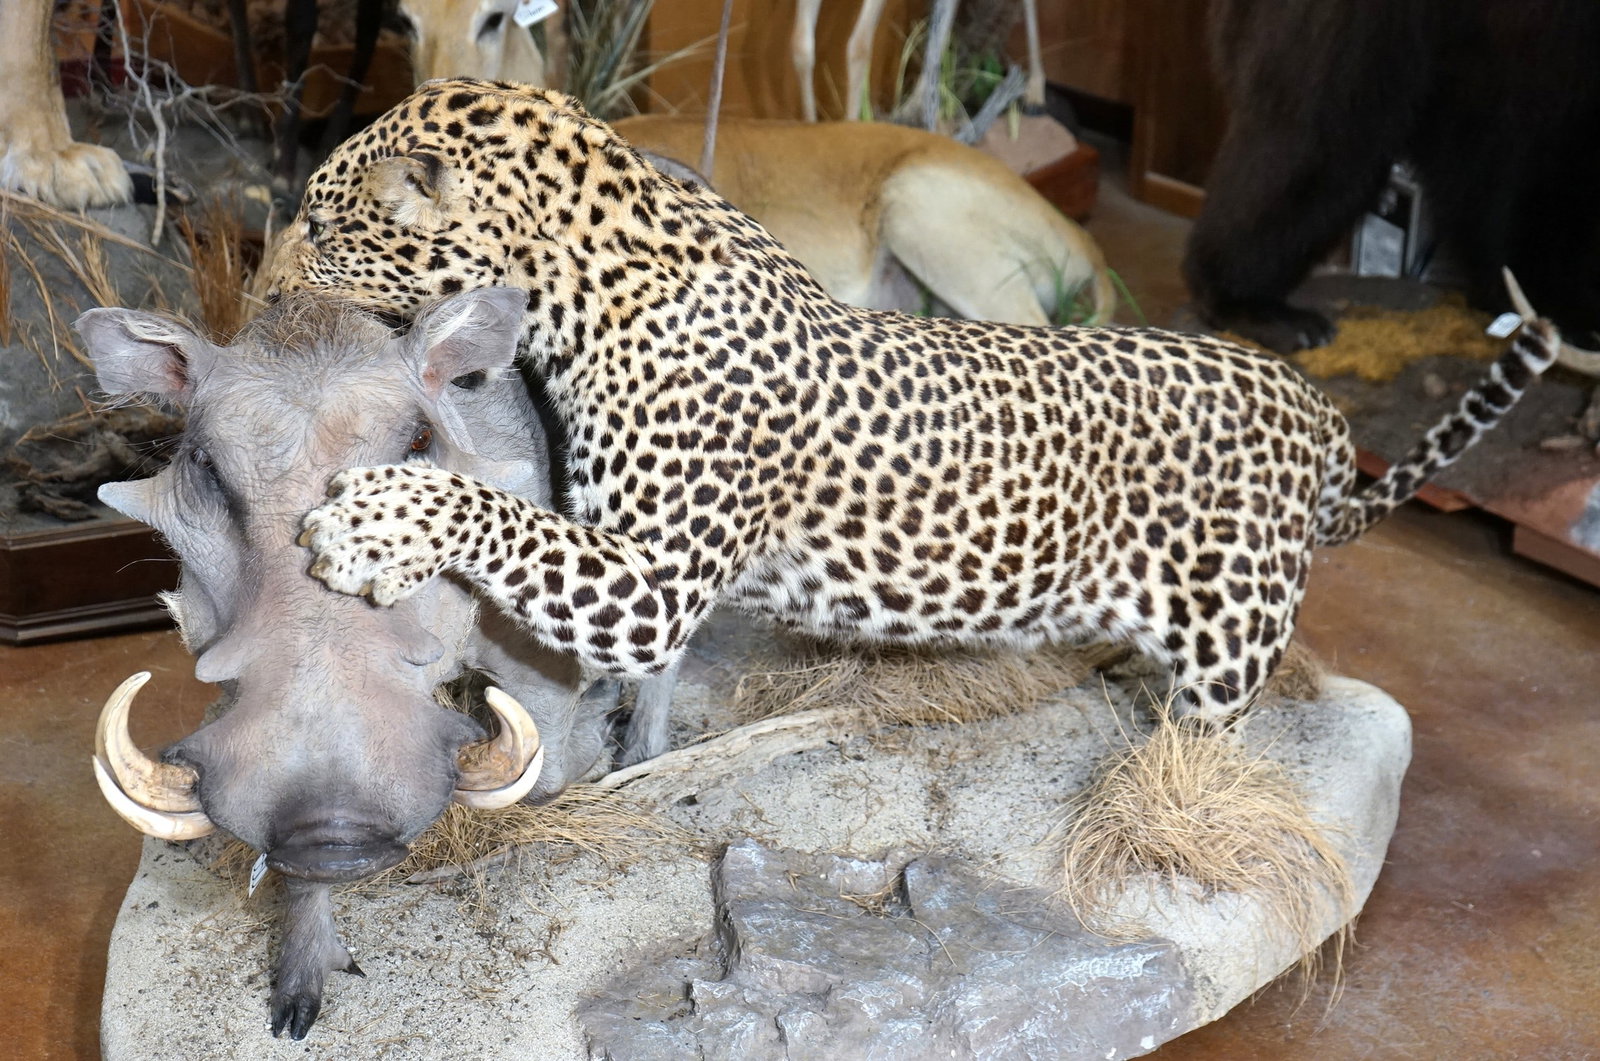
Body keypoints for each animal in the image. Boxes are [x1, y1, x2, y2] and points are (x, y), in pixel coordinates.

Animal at [262, 78, 1558, 725]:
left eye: (322, 226)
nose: (264, 293)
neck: (587, 283)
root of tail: (1319, 413)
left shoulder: (653, 586)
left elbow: (495, 516)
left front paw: (370, 524)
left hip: (1229, 644)